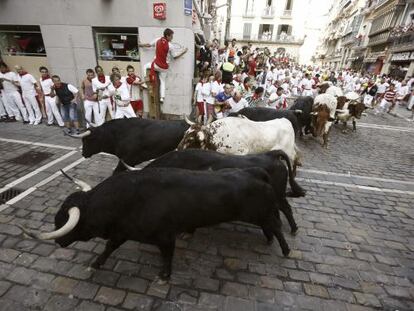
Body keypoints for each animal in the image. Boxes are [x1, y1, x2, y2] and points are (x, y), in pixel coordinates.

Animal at [18, 168, 292, 282]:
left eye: (66, 221)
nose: (59, 241)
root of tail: (257, 173)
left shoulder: (165, 237)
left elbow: (167, 256)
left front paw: (164, 276)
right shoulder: (122, 233)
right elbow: (108, 248)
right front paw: (95, 264)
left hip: (263, 213)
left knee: (277, 227)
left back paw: (286, 250)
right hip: (261, 214)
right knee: (271, 228)